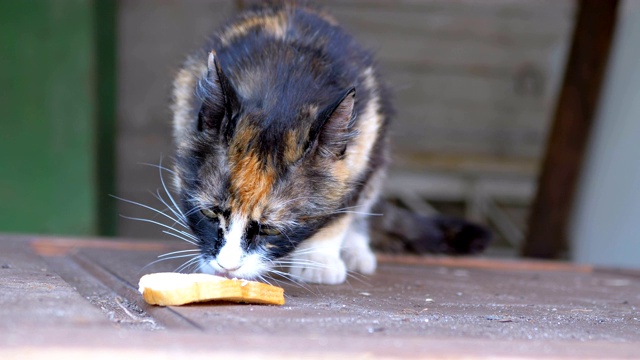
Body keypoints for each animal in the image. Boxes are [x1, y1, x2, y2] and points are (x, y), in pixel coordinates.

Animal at [170, 2, 490, 284]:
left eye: (271, 230)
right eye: (209, 212)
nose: (227, 267)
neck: (283, 89)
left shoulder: (366, 135)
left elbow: (341, 208)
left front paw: (319, 262)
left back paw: (356, 251)